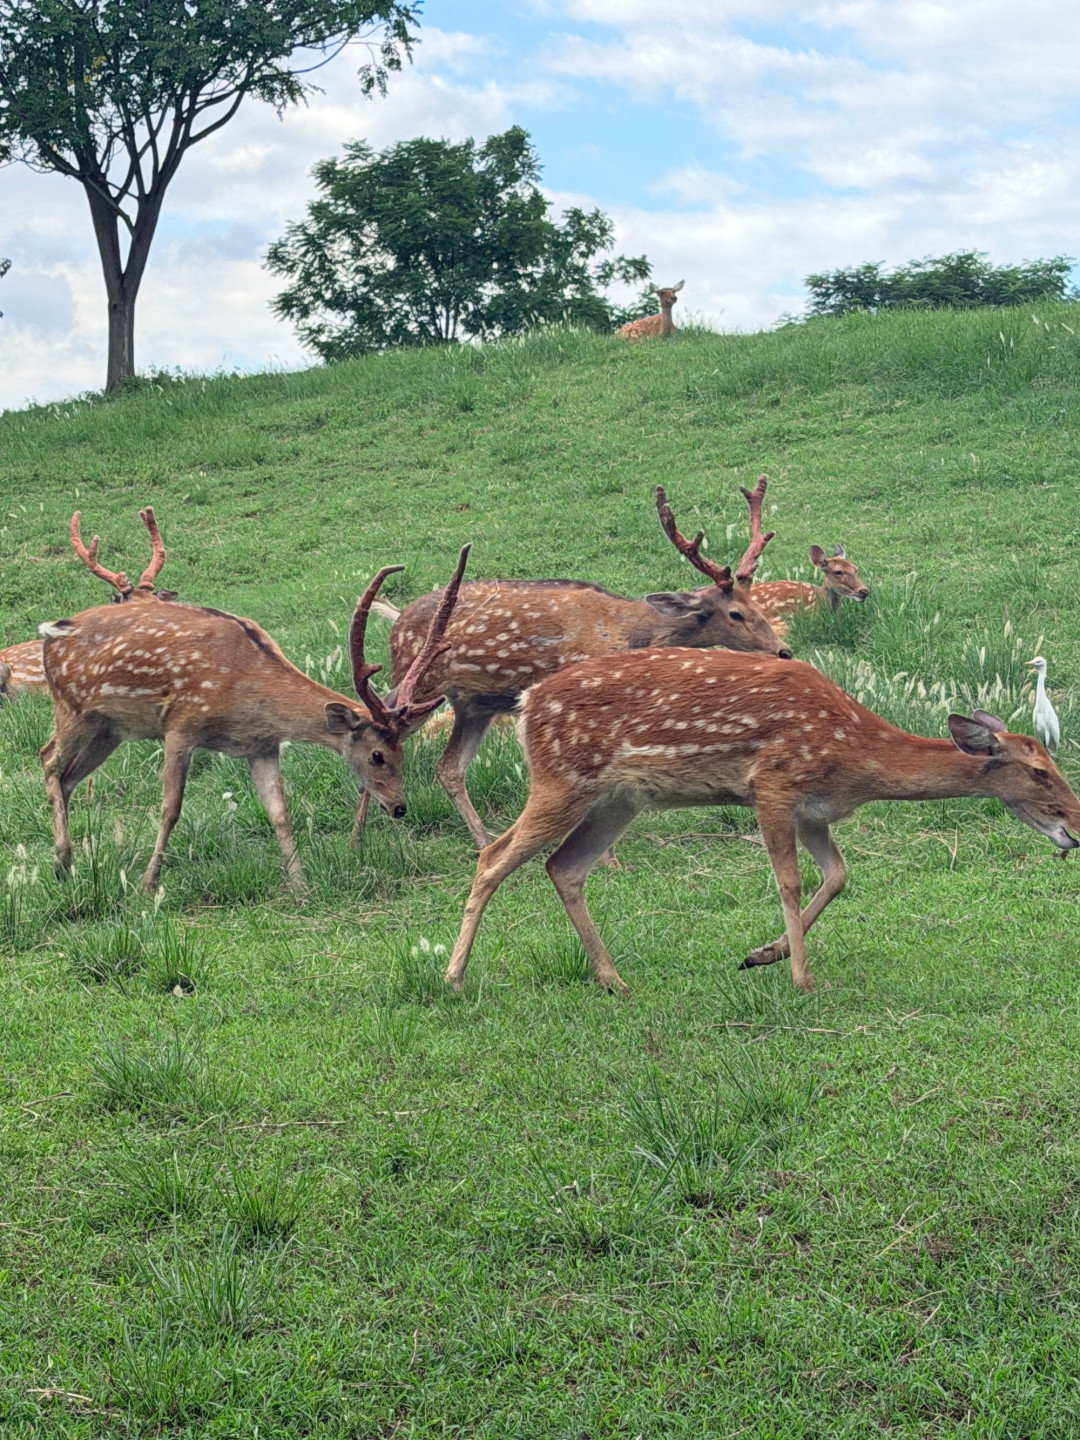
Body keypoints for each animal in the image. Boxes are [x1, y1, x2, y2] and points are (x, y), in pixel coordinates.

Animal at [38, 544, 471, 893]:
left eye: (402, 751)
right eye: (377, 755)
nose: (399, 807)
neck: (243, 693)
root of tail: (47, 635)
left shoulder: (261, 746)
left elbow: (279, 812)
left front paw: (300, 884)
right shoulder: (181, 725)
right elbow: (170, 808)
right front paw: (148, 883)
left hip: (109, 729)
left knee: (68, 777)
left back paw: (68, 863)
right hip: (72, 707)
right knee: (47, 759)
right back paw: (63, 861)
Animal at [356, 480, 790, 849]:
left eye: (755, 602)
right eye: (734, 614)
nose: (783, 650)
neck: (629, 634)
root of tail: (395, 623)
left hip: (474, 705)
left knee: (447, 767)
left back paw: (479, 839)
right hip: (418, 682)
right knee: (371, 725)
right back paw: (359, 836)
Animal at [443, 648, 1080, 996]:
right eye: (1040, 770)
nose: (1074, 827)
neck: (855, 756)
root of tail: (525, 706)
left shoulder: (815, 811)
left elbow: (838, 876)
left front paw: (761, 955)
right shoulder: (774, 785)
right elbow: (789, 881)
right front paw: (801, 978)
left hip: (619, 799)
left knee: (564, 867)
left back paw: (614, 979)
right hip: (563, 779)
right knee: (495, 856)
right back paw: (453, 977)